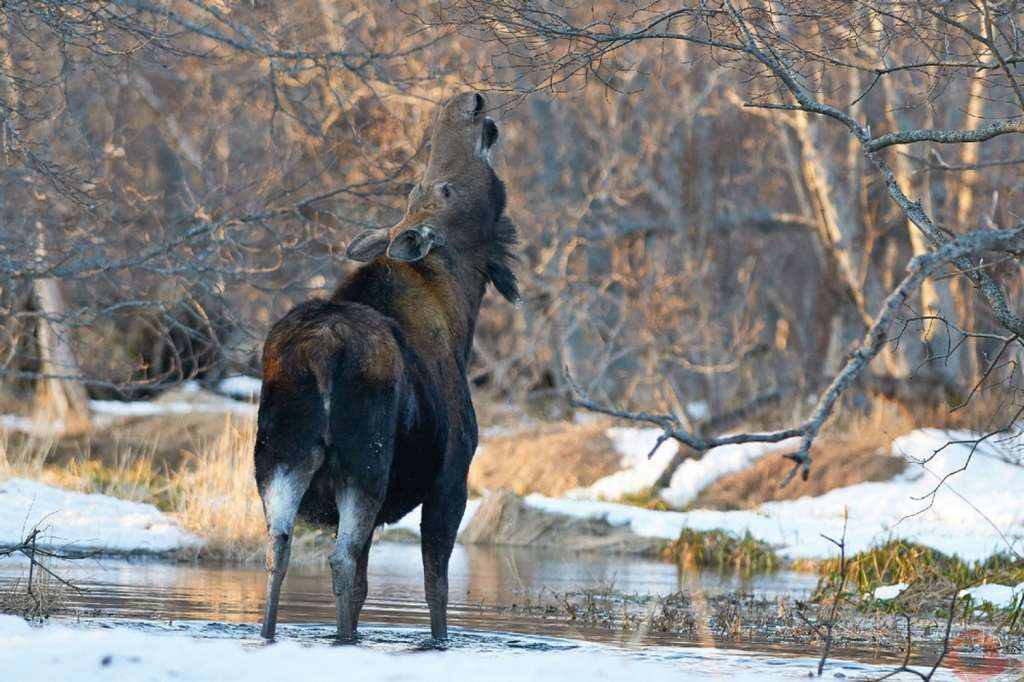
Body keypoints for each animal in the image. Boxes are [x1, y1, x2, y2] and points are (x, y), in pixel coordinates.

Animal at [254, 92, 518, 643]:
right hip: (364, 465)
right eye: (440, 188)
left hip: (279, 457)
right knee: (339, 559)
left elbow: (366, 587)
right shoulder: (452, 479)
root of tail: (322, 352)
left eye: (422, 187)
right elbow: (436, 593)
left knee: (277, 549)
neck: (463, 309)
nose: (467, 101)